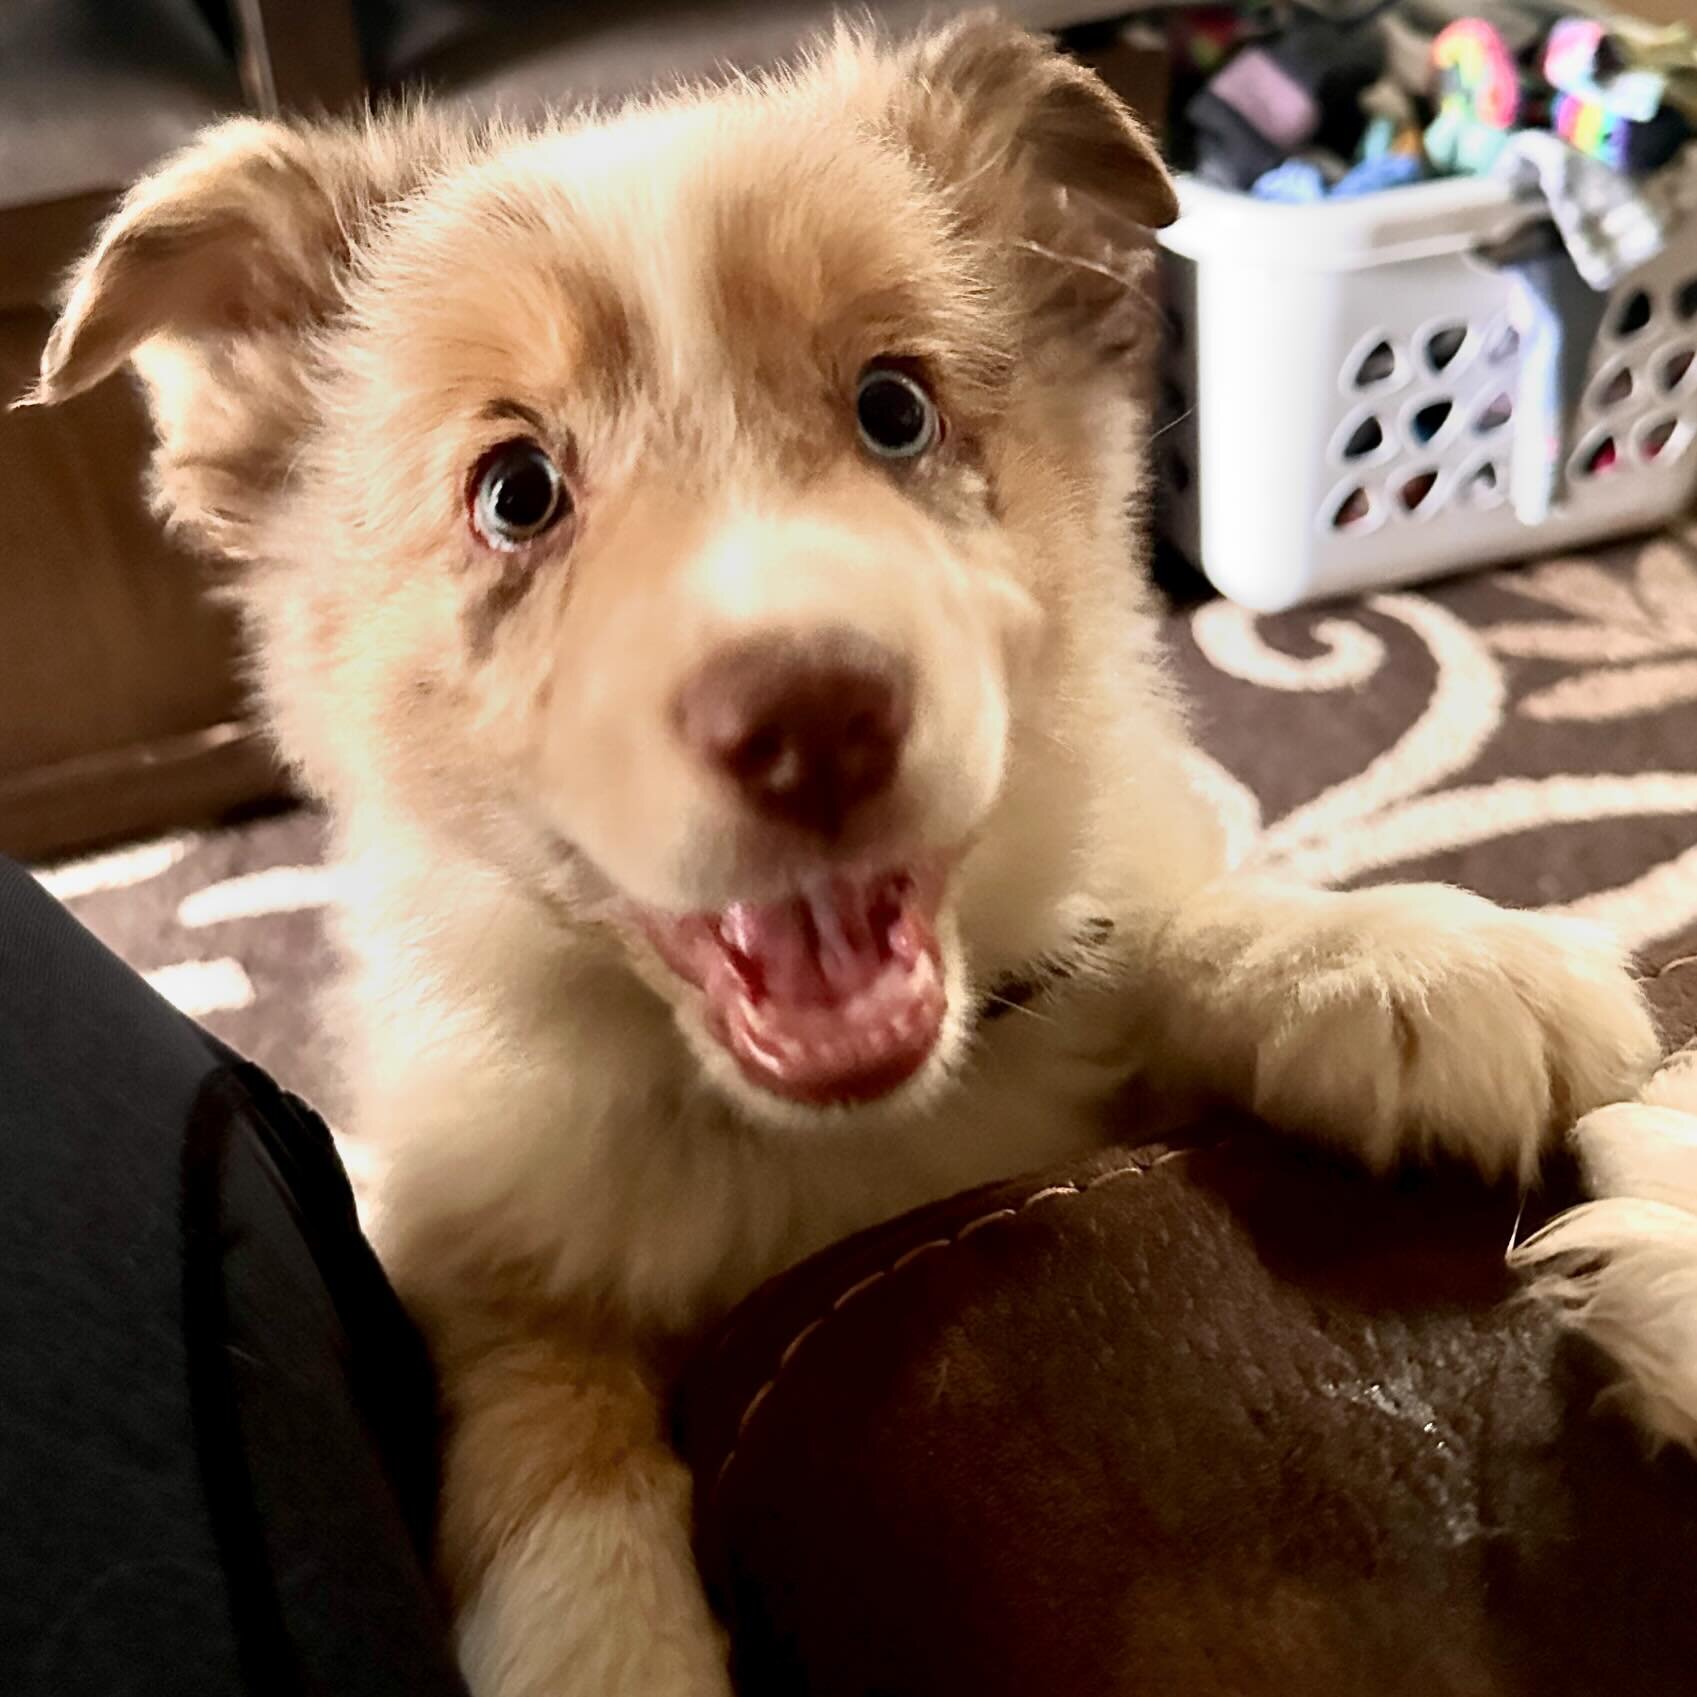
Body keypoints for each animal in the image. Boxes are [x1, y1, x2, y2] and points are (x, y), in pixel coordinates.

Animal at [33, 16, 1663, 1697]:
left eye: (895, 409)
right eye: (514, 493)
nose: (811, 720)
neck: (814, 1141)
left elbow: (1156, 924)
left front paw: (1403, 959)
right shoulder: (472, 1263)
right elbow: (548, 1442)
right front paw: (608, 1644)